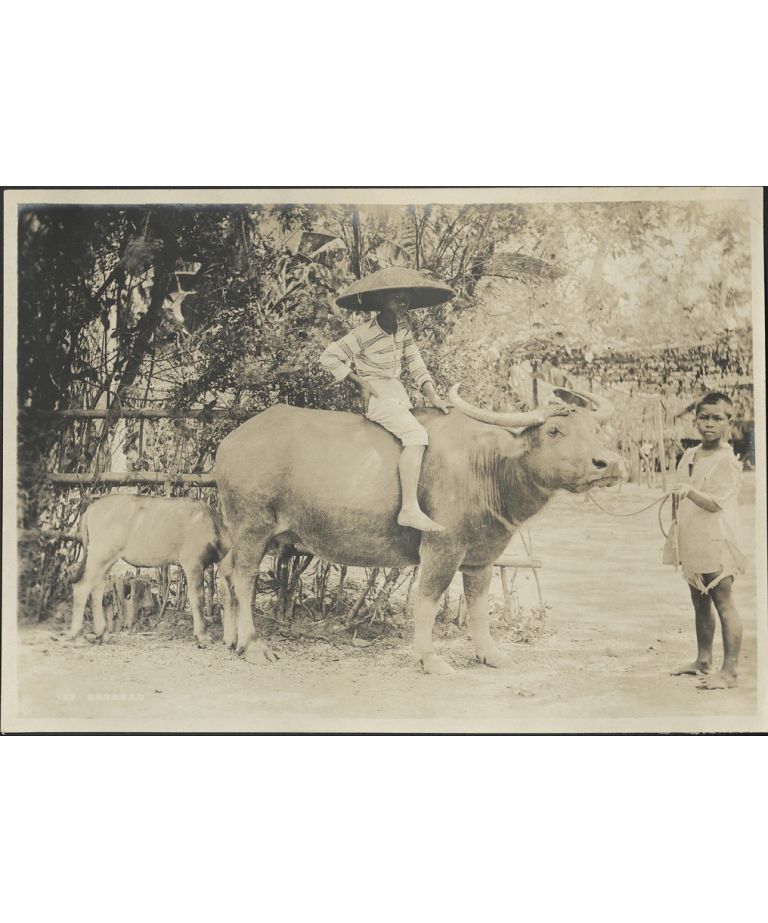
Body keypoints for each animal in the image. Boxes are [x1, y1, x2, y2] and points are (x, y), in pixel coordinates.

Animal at [215, 385, 625, 674]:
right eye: (554, 430)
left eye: (595, 428)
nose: (608, 463)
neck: (487, 466)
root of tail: (229, 443)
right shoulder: (442, 548)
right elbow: (427, 601)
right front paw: (430, 659)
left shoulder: (482, 557)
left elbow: (477, 607)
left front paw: (491, 654)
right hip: (253, 526)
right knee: (245, 577)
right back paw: (253, 645)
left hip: (244, 531)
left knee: (225, 571)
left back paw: (230, 640)